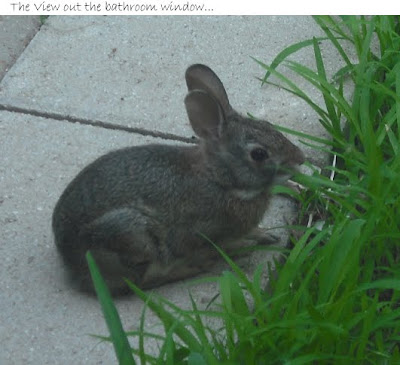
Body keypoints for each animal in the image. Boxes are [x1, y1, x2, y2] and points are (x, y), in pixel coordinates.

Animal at [51, 64, 304, 294]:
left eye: (267, 125)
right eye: (259, 154)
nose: (300, 159)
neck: (220, 180)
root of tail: (70, 262)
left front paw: (266, 234)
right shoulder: (202, 232)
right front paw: (245, 246)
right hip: (133, 236)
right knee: (142, 280)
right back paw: (192, 269)